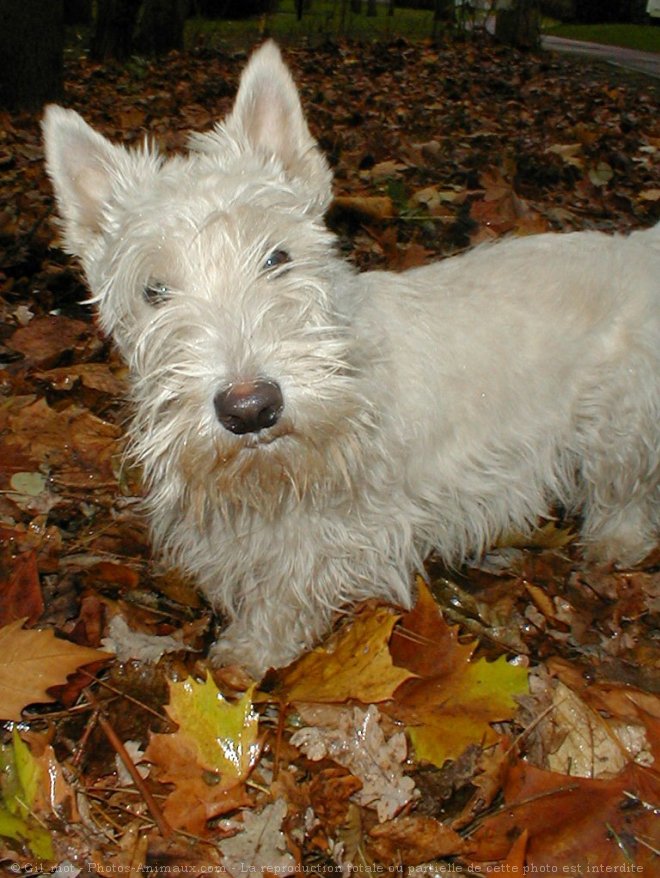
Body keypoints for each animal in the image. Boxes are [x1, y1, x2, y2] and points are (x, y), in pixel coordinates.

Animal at [43, 41, 656, 672]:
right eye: (154, 290)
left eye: (277, 257)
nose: (250, 408)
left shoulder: (339, 532)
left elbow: (288, 593)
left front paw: (251, 651)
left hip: (621, 418)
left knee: (628, 488)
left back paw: (616, 543)